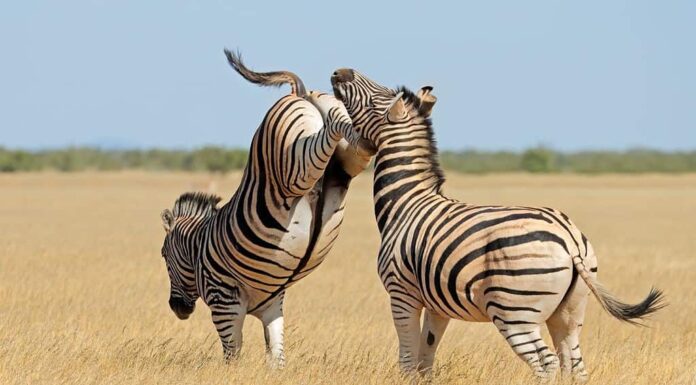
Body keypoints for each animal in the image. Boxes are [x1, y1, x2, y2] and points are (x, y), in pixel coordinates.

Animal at [158, 51, 376, 366]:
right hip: (340, 147)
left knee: (324, 140)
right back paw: (371, 135)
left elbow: (232, 354)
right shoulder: (273, 304)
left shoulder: (224, 302)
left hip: (291, 169)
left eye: (163, 255)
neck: (197, 248)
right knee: (348, 136)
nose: (177, 308)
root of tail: (298, 93)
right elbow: (276, 354)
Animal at [324, 67, 668, 380]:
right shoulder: (436, 305)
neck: (406, 202)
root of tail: (568, 238)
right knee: (574, 365)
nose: (340, 71)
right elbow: (426, 358)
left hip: (514, 311)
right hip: (569, 312)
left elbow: (408, 359)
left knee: (546, 363)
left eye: (375, 99)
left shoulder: (401, 293)